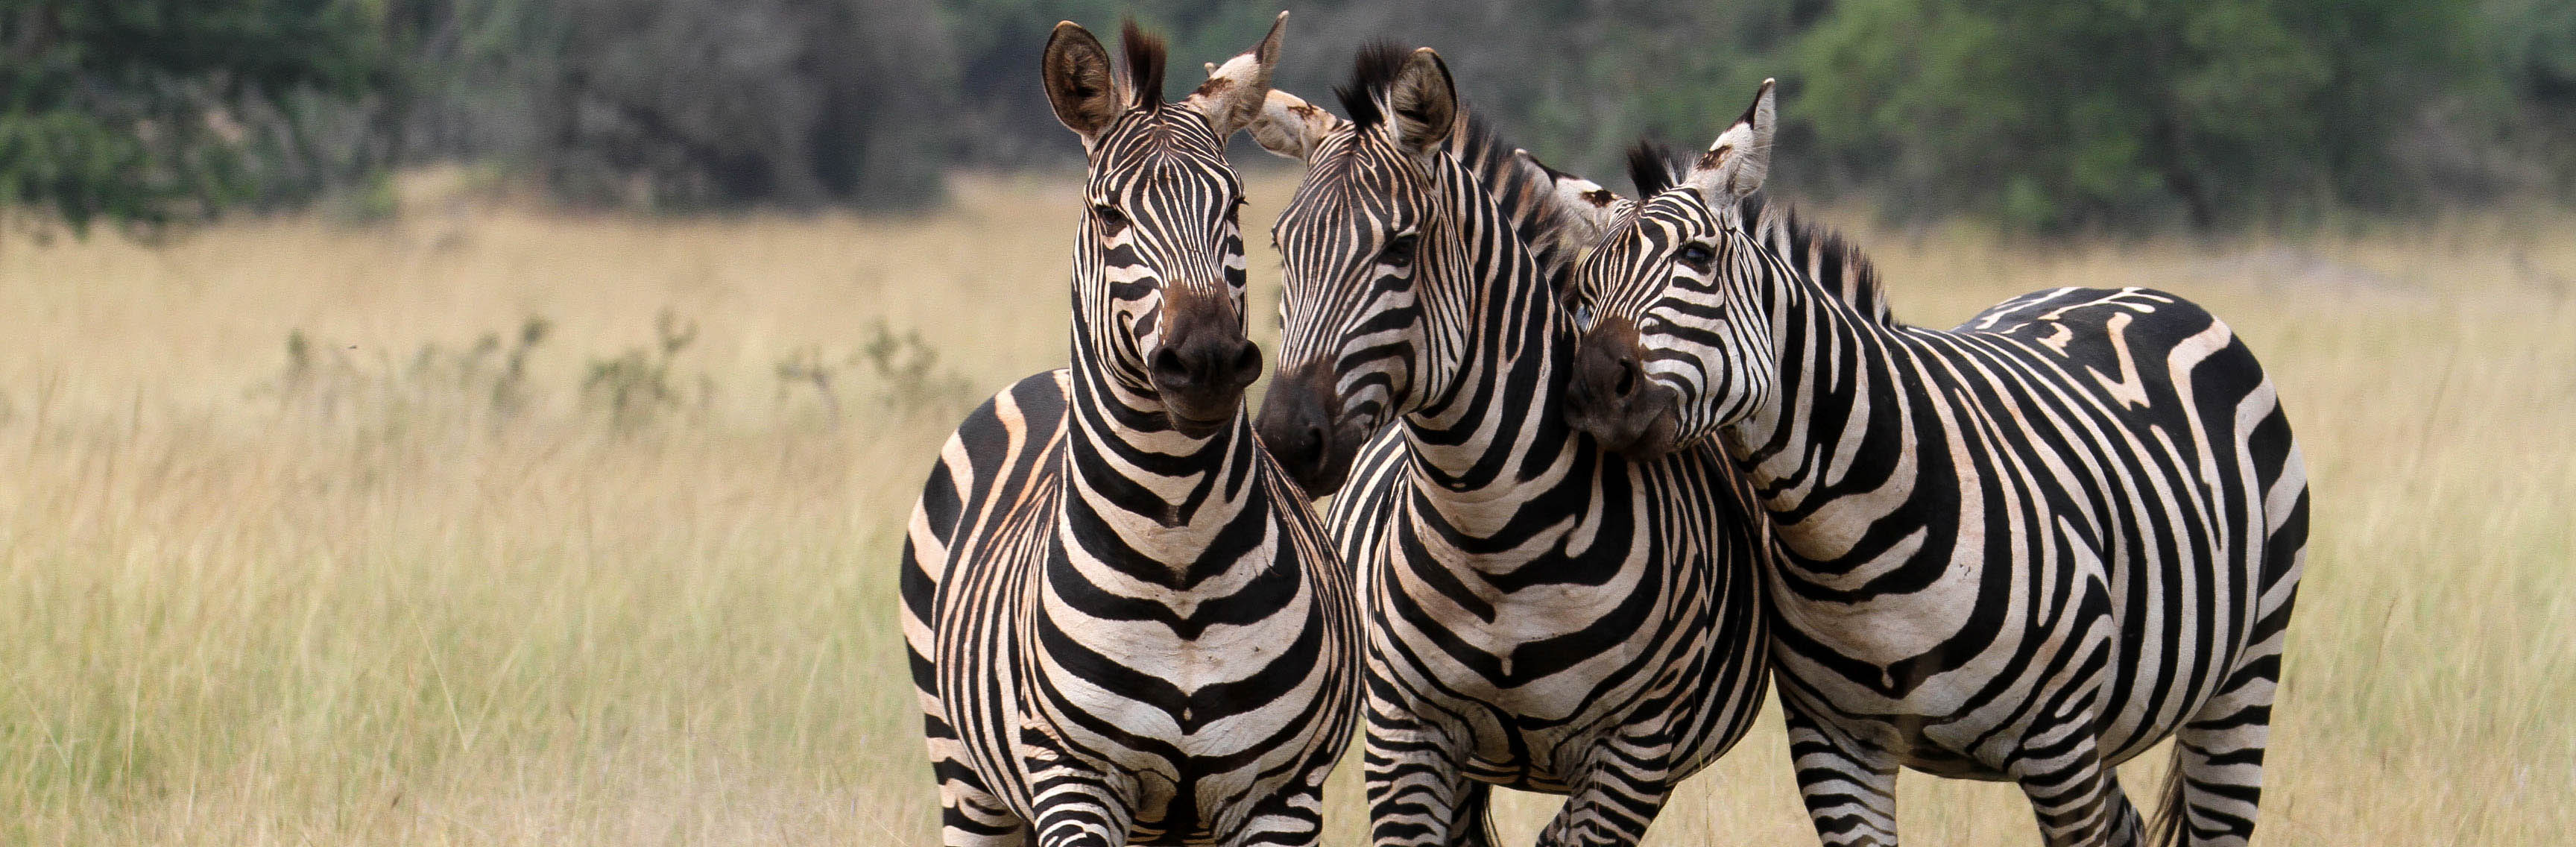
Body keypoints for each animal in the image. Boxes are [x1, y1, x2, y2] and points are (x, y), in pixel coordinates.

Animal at [896, 14, 1370, 844]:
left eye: (1236, 207)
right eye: (1109, 215)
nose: (1208, 362)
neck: (1176, 545)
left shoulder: (1281, 792)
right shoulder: (1074, 778)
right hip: (964, 772)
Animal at [1241, 48, 1772, 844]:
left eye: (1401, 247)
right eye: (1281, 245)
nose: (1284, 439)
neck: (1495, 537)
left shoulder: (1632, 752)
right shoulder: (1404, 736)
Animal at [1556, 79, 2329, 844]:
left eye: (1698, 258)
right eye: (1585, 291)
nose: (1591, 386)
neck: (1847, 543)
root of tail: (2133, 288)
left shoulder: (2058, 742)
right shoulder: (1835, 751)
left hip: (2244, 676)